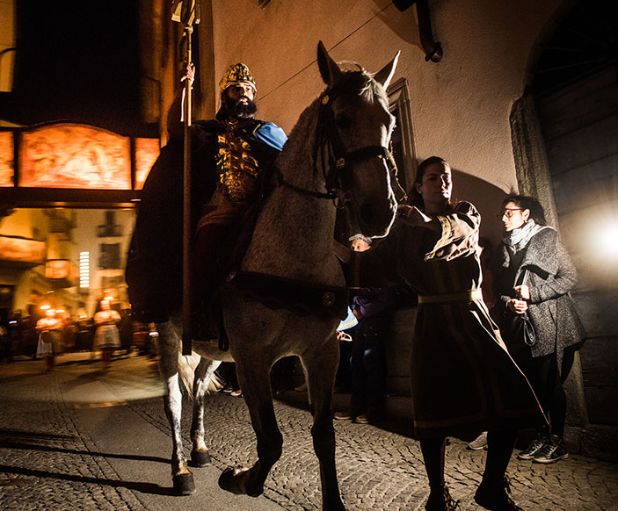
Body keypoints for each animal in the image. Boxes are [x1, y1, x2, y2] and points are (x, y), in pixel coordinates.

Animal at [154, 41, 400, 511]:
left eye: (390, 122)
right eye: (342, 118)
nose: (379, 212)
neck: (293, 257)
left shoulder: (321, 354)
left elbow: (324, 437)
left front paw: (333, 501)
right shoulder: (253, 359)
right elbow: (270, 441)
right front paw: (240, 479)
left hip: (215, 348)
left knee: (199, 385)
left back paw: (199, 449)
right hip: (171, 337)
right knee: (175, 399)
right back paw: (180, 469)